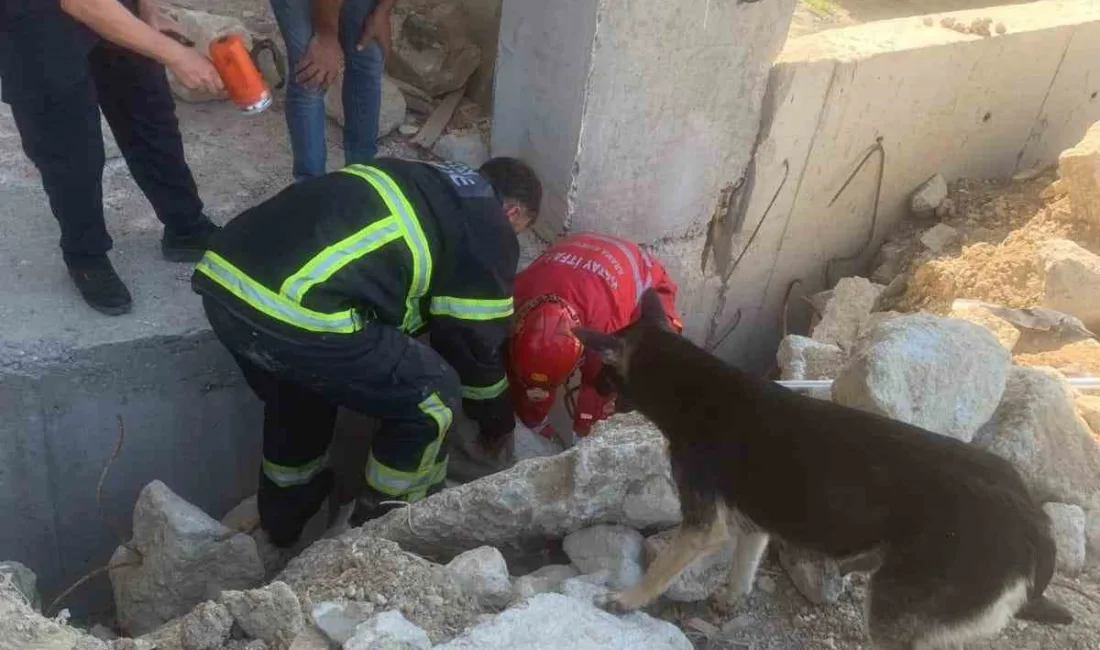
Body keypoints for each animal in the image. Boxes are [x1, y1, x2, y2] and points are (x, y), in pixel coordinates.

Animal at [576, 290, 1073, 650]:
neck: (693, 383)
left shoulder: (702, 524)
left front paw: (626, 599)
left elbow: (662, 570)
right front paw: (731, 598)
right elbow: (743, 567)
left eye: (602, 369)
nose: (590, 389)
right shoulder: (755, 520)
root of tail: (1033, 524)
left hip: (893, 608)